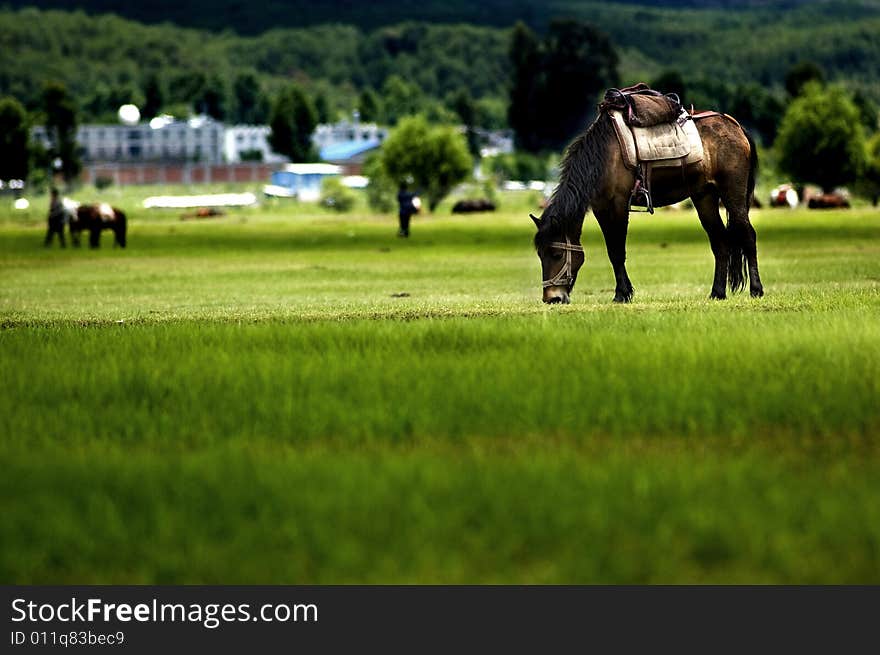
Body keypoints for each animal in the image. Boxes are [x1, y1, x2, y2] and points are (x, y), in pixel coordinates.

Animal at [528, 102, 764, 304]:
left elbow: (617, 251)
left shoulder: (618, 204)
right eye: (540, 254)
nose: (552, 298)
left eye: (557, 254)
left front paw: (622, 294)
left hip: (732, 194)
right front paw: (623, 293)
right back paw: (717, 293)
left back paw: (756, 290)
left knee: (748, 235)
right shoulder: (601, 208)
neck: (603, 157)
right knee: (720, 242)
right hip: (704, 197)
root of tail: (735, 126)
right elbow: (612, 251)